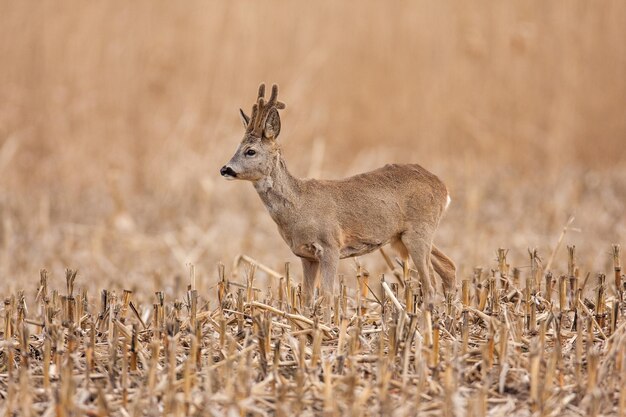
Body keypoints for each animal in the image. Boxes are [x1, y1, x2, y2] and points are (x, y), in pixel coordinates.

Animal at [219, 83, 454, 306]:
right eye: (237, 147)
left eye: (250, 151)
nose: (225, 169)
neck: (299, 206)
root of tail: (443, 188)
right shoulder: (306, 255)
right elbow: (307, 297)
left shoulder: (330, 245)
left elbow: (328, 295)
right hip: (407, 235)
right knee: (448, 267)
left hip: (419, 231)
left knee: (431, 284)